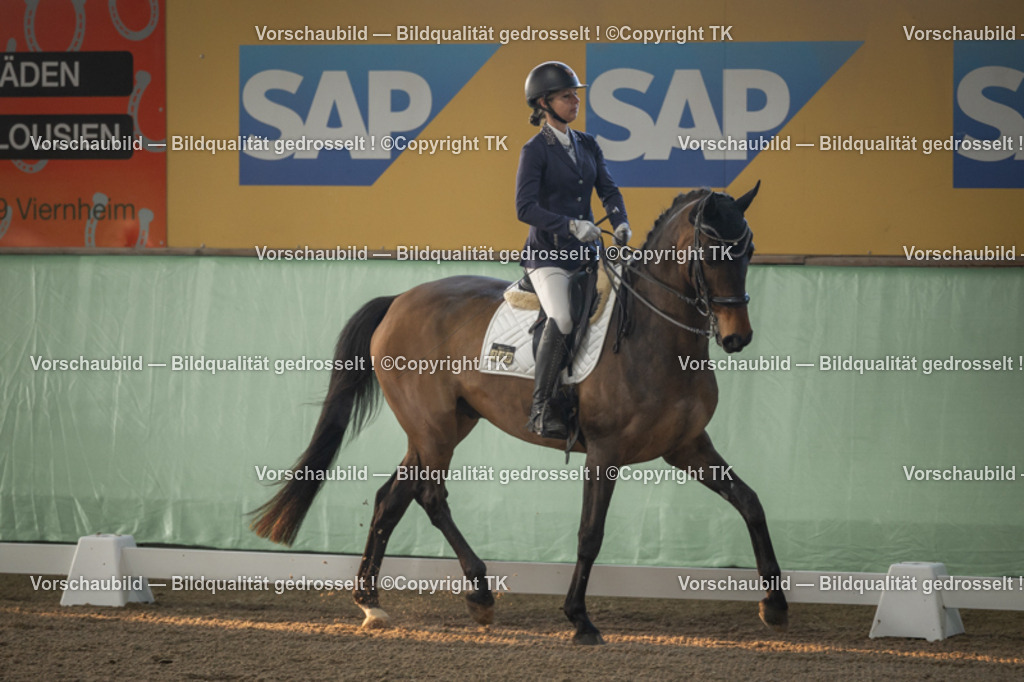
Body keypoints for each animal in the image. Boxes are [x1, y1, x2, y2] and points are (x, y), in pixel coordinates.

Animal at [251, 181, 789, 644]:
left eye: (749, 250)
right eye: (713, 253)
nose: (737, 337)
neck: (654, 337)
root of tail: (399, 300)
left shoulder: (687, 446)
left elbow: (751, 503)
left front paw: (776, 605)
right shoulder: (606, 452)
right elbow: (590, 533)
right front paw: (579, 619)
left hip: (442, 427)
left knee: (392, 497)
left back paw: (371, 602)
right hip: (434, 427)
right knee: (430, 496)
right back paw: (479, 592)